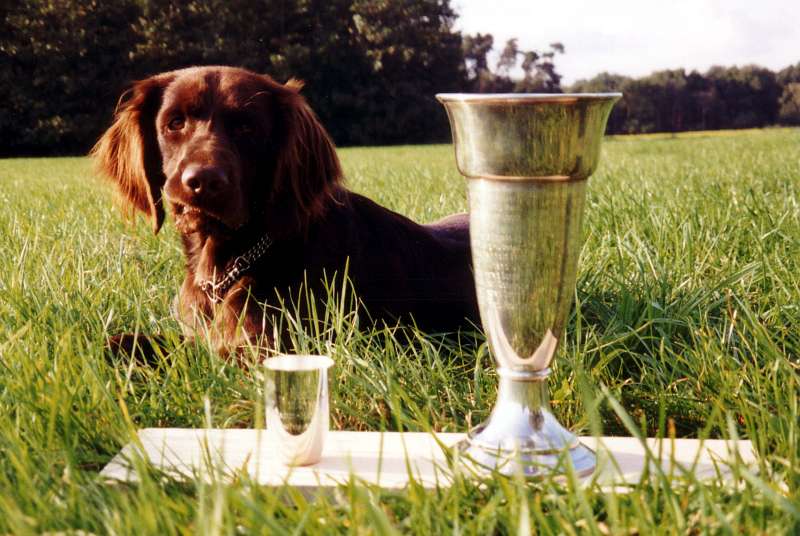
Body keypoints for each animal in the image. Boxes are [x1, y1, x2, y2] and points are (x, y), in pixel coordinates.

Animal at [93, 65, 478, 359]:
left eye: (247, 127)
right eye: (175, 123)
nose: (203, 181)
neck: (227, 268)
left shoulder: (266, 349)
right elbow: (125, 342)